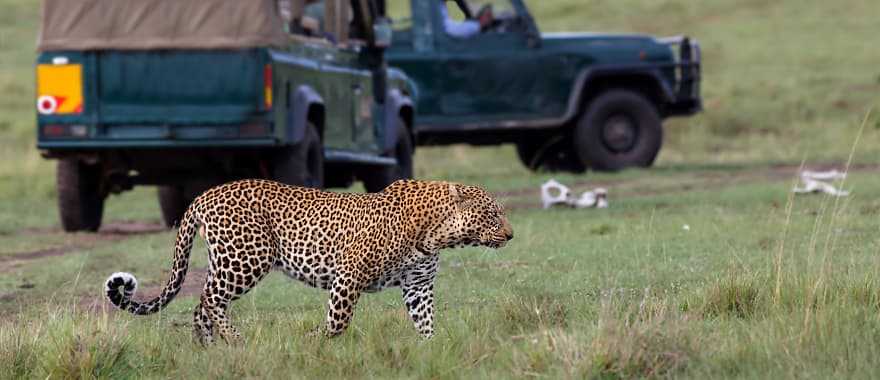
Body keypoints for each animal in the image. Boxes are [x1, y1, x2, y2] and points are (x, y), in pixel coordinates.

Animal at [105, 179, 512, 344]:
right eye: (493, 215)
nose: (510, 235)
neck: (436, 233)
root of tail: (202, 196)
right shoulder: (349, 276)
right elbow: (338, 321)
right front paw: (313, 341)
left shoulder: (418, 285)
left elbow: (426, 323)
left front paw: (432, 349)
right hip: (248, 259)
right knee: (209, 298)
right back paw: (234, 339)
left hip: (227, 260)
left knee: (201, 303)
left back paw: (208, 347)